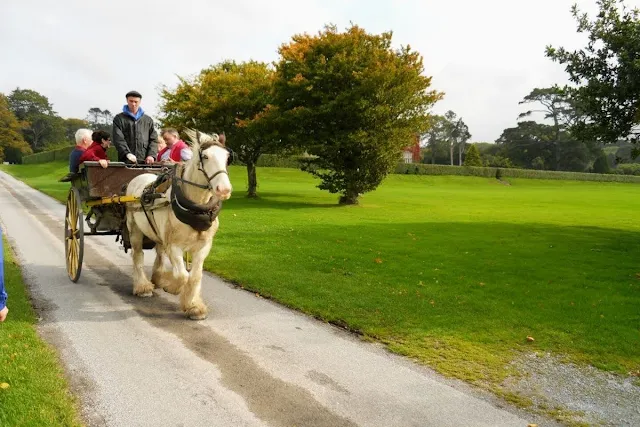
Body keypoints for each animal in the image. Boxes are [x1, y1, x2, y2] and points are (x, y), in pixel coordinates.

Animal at [124, 129, 232, 320]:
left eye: (227, 157)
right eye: (205, 156)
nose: (224, 189)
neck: (197, 209)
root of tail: (140, 175)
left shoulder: (204, 246)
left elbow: (195, 276)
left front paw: (194, 306)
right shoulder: (174, 246)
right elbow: (182, 275)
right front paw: (173, 287)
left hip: (158, 233)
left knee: (160, 253)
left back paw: (158, 277)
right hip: (134, 228)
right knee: (137, 254)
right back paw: (143, 287)